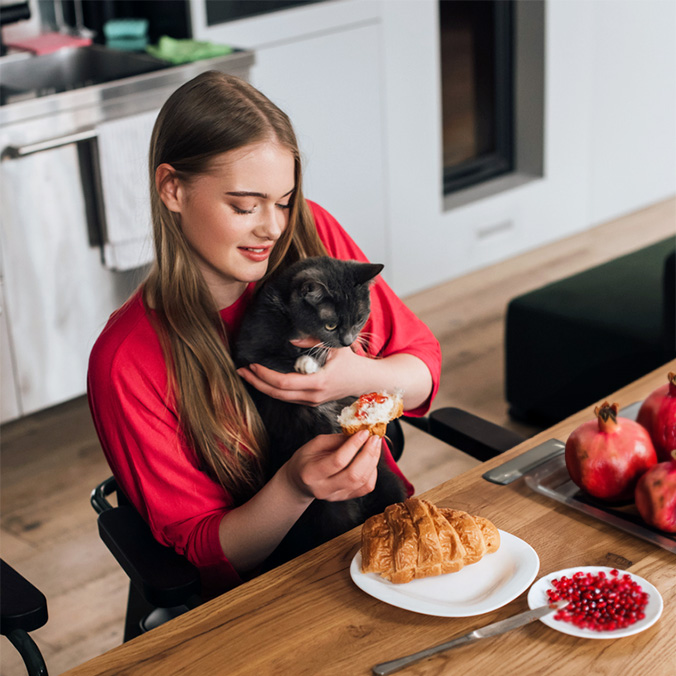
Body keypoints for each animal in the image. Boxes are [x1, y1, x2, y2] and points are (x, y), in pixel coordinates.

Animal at [235, 256, 406, 568]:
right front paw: (307, 363)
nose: (349, 341)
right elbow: (275, 360)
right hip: (326, 512)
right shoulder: (250, 349)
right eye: (330, 324)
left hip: (385, 481)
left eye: (360, 319)